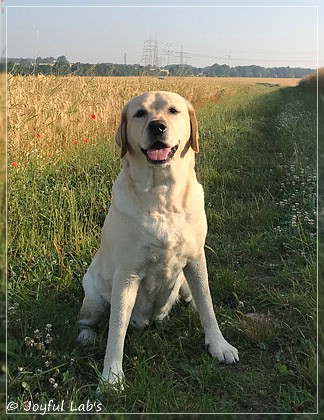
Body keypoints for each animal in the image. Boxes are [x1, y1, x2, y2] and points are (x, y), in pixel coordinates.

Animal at [76, 91, 238, 388]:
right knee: (88, 320)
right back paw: (87, 335)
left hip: (183, 283)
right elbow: (116, 329)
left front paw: (219, 345)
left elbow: (208, 305)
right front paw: (111, 377)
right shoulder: (127, 275)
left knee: (193, 299)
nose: (157, 126)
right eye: (140, 113)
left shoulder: (196, 259)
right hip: (94, 298)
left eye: (173, 111)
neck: (163, 194)